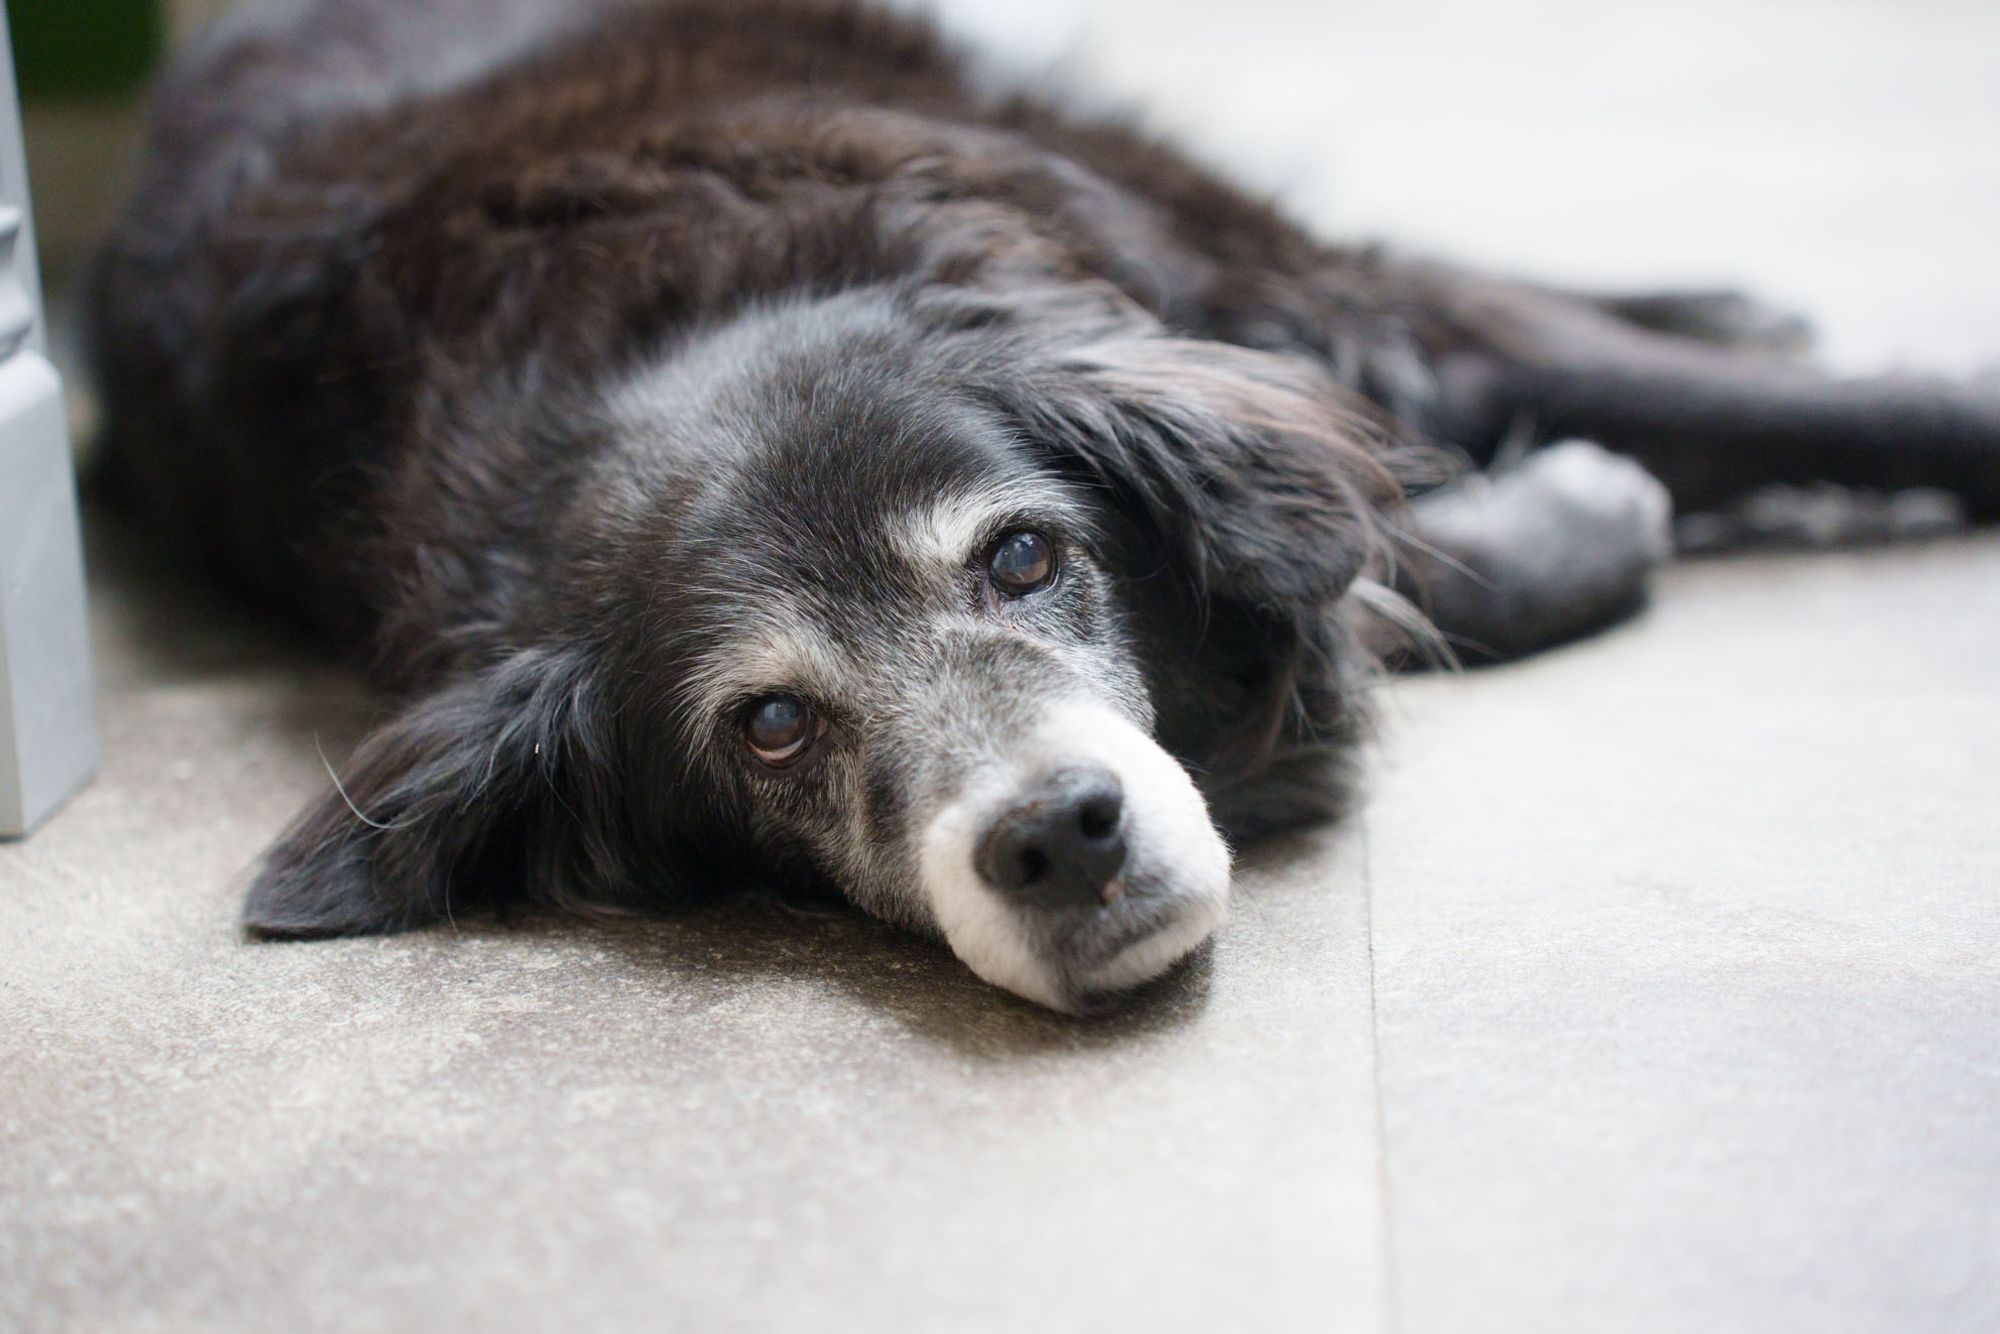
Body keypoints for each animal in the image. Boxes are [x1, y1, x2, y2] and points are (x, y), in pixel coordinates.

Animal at [90, 0, 2000, 1012]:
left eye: (1023, 556)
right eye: (769, 726)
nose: (1056, 836)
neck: (668, 315)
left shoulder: (1269, 304)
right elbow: (1405, 559)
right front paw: (1584, 517)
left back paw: (1718, 303)